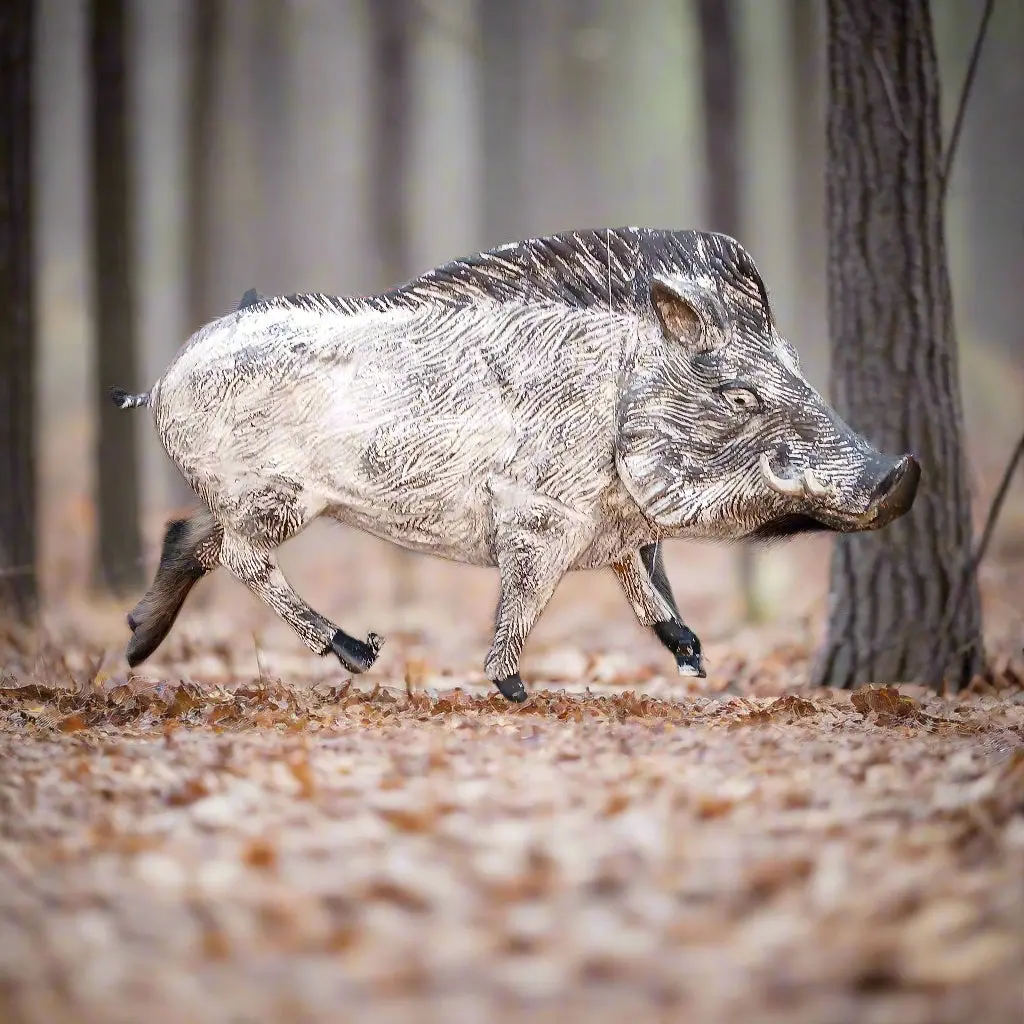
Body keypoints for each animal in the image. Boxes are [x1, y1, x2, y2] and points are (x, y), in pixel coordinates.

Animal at [111, 228, 920, 702]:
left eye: (800, 374)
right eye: (741, 394)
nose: (901, 473)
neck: (615, 405)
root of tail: (165, 377)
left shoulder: (614, 526)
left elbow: (644, 575)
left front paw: (694, 660)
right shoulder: (538, 514)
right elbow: (528, 597)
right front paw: (515, 691)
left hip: (239, 495)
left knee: (188, 535)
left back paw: (136, 646)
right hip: (274, 494)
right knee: (240, 557)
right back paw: (361, 653)